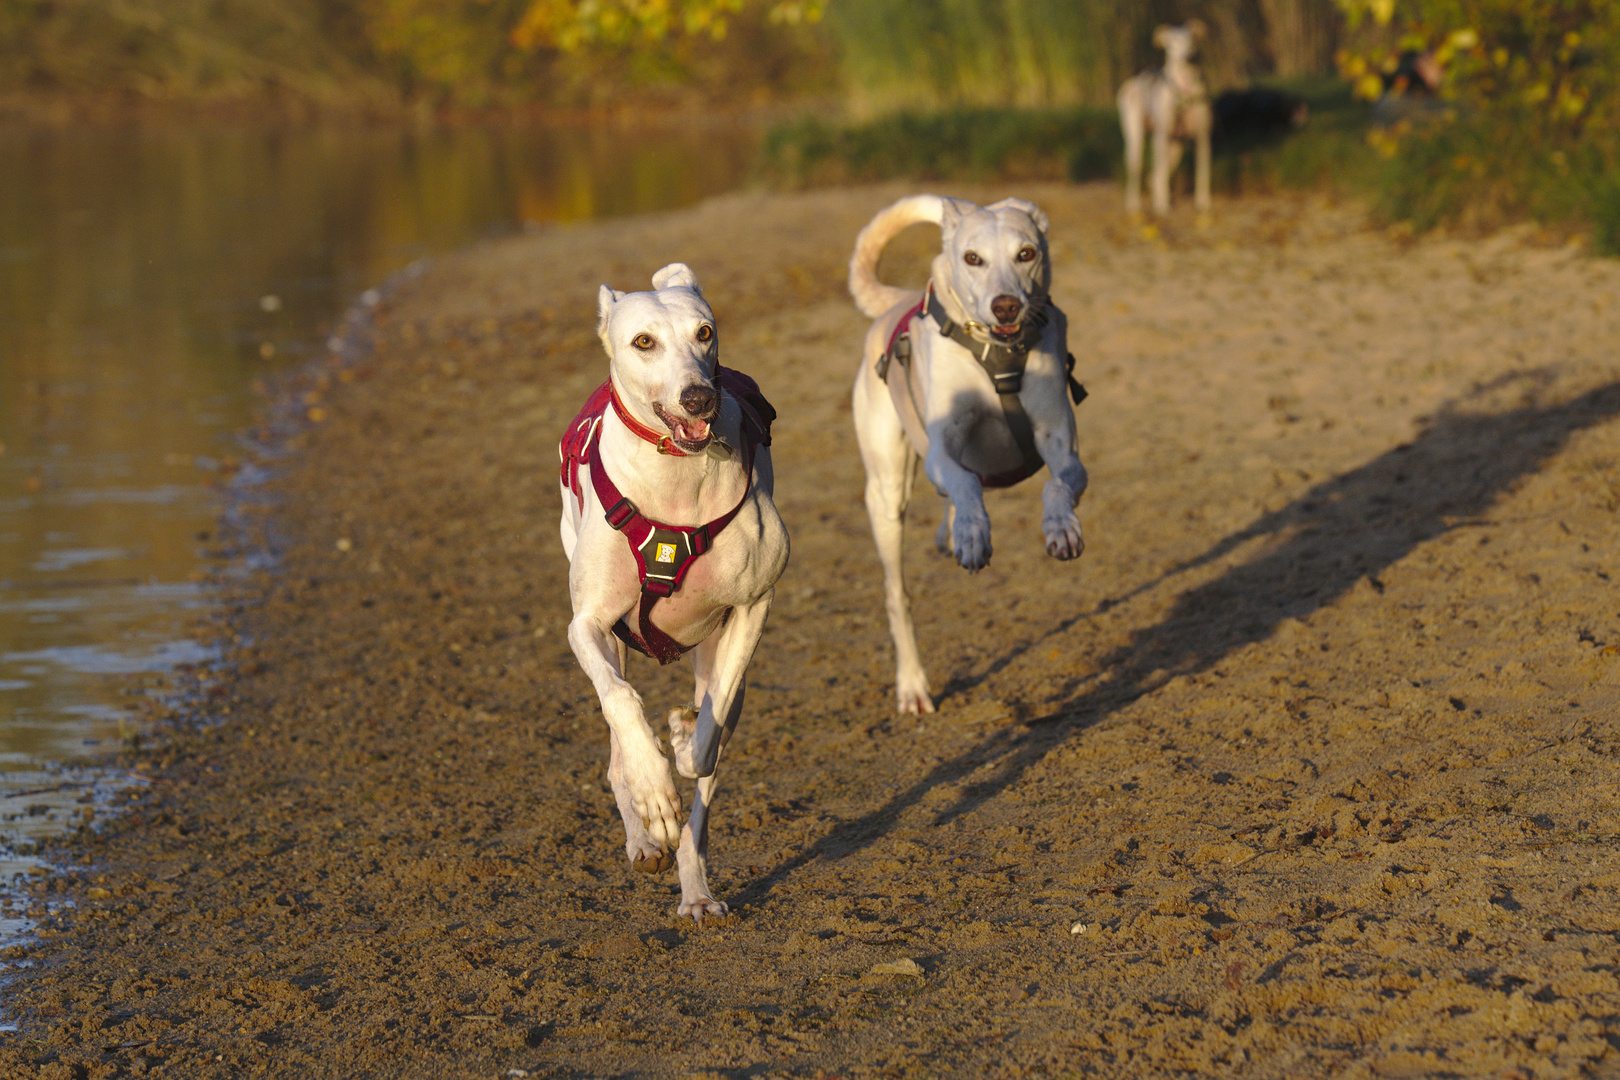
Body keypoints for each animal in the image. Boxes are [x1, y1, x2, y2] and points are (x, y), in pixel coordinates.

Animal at [557, 263, 784, 932]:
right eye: (643, 342)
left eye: (704, 332)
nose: (698, 398)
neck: (676, 483)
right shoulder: (587, 625)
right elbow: (622, 704)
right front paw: (655, 793)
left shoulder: (753, 605)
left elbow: (709, 737)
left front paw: (684, 744)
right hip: (612, 643)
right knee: (614, 746)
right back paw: (644, 833)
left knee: (705, 795)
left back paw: (696, 890)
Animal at [848, 194, 1088, 718]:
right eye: (972, 258)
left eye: (1026, 253)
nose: (1006, 304)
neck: (998, 357)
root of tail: (896, 301)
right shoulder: (943, 448)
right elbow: (964, 480)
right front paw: (974, 534)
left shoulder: (1061, 441)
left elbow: (1058, 483)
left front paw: (1061, 528)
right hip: (886, 494)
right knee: (898, 594)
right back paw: (912, 684)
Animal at [1121, 22, 1211, 215]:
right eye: (1172, 43)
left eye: (1192, 38)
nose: (1188, 56)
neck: (1185, 91)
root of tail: (1133, 82)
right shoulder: (1162, 136)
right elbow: (1161, 176)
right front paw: (1162, 206)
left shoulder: (1203, 137)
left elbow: (1202, 173)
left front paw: (1203, 203)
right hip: (1138, 140)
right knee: (1139, 172)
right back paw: (1134, 204)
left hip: (1175, 148)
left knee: (1155, 174)